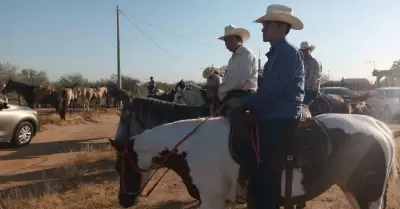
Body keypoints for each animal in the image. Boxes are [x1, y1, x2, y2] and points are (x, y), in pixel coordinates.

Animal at [111, 108, 398, 209]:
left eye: (120, 166)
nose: (124, 201)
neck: (194, 147)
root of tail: (376, 125)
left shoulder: (212, 201)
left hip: (368, 195)